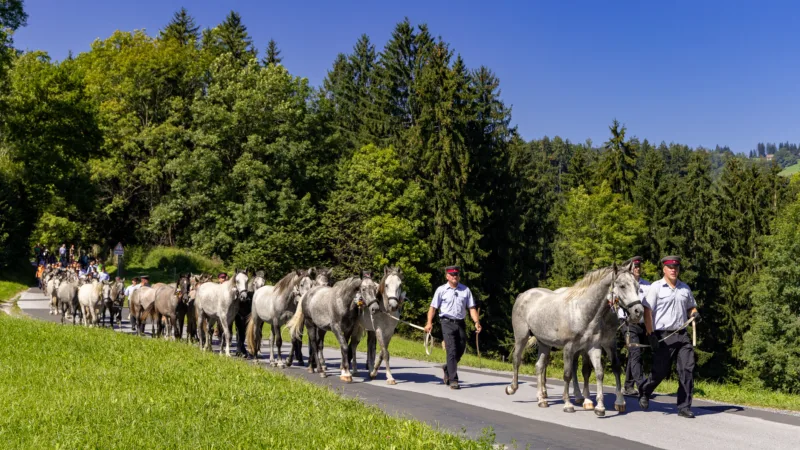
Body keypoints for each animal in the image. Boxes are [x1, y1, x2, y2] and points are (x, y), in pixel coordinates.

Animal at [506, 262, 644, 416]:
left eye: (637, 287)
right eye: (622, 286)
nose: (638, 312)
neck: (582, 311)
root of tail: (523, 295)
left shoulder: (593, 347)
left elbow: (599, 372)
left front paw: (600, 407)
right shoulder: (569, 348)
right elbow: (567, 374)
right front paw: (568, 404)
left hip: (544, 343)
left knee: (539, 366)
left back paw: (542, 399)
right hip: (521, 337)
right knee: (517, 359)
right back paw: (512, 388)